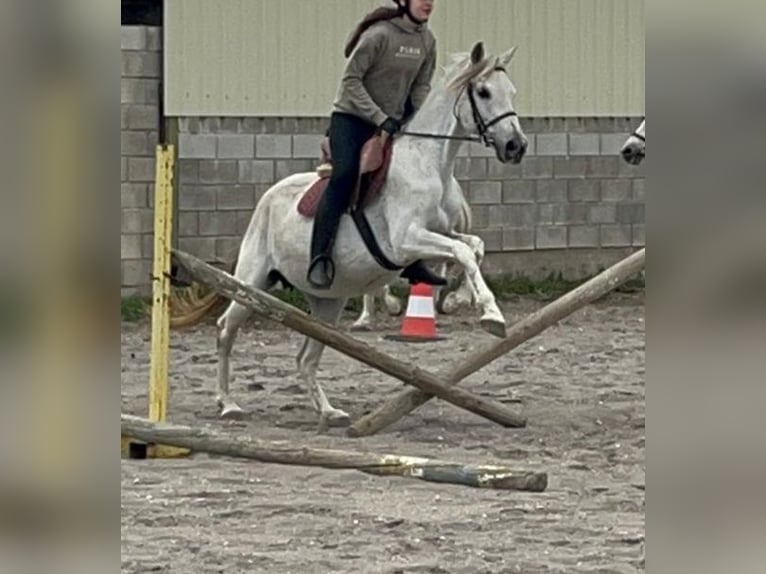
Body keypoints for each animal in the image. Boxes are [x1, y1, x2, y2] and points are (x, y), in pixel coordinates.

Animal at [214, 42, 528, 426]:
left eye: (511, 91)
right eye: (483, 92)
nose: (516, 146)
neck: (429, 163)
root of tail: (267, 197)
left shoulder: (442, 232)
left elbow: (473, 248)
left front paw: (460, 299)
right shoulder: (406, 241)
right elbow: (464, 253)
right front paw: (490, 315)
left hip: (327, 303)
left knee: (306, 357)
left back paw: (329, 411)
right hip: (252, 282)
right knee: (226, 329)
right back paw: (228, 403)